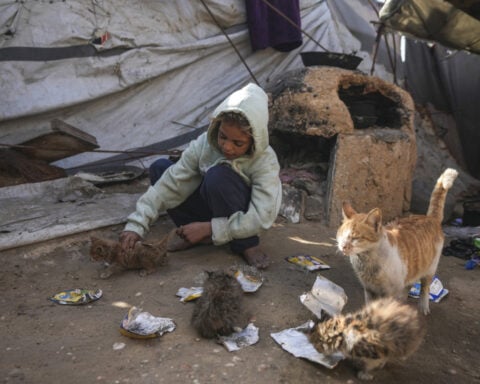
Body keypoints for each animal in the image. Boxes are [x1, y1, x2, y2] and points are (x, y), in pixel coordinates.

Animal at [336, 168, 460, 316]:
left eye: (355, 238)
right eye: (342, 235)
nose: (343, 246)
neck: (367, 261)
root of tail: (429, 218)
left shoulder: (389, 292)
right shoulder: (369, 289)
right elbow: (370, 307)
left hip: (430, 269)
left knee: (425, 288)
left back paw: (423, 306)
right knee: (409, 285)